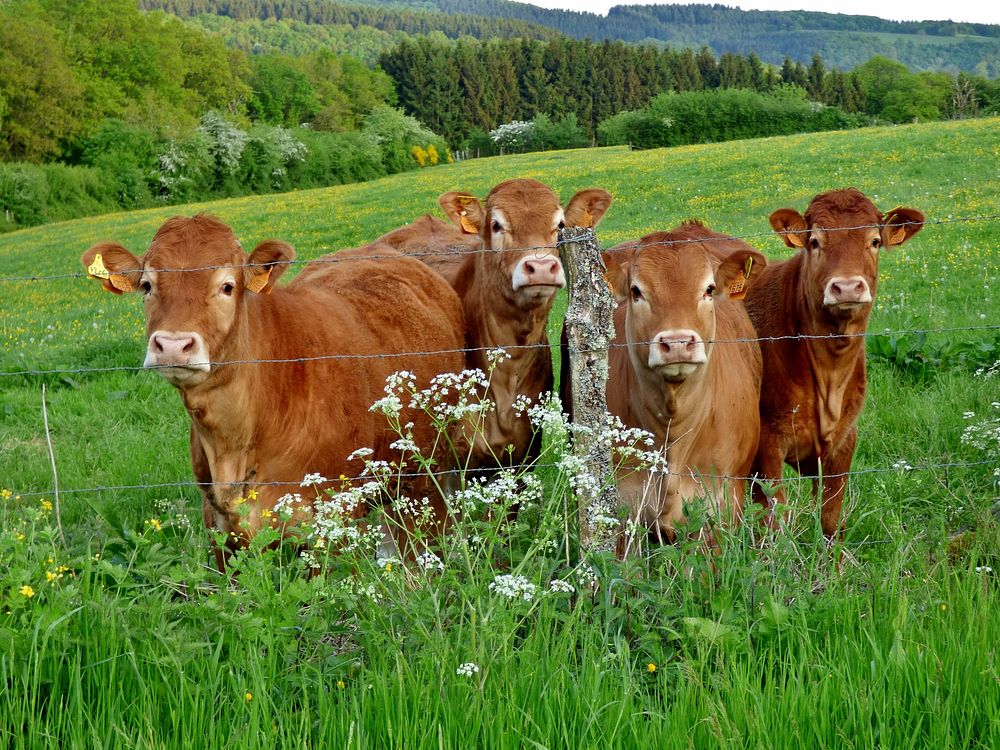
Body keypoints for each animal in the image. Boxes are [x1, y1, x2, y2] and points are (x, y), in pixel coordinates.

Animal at [81, 216, 464, 568]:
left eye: (227, 286)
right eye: (147, 285)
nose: (173, 345)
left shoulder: (333, 522)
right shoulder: (217, 528)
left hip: (428, 470)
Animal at [748, 189, 924, 540]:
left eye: (874, 241)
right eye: (815, 242)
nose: (846, 287)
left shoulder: (844, 440)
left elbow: (831, 519)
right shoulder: (767, 444)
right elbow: (775, 521)